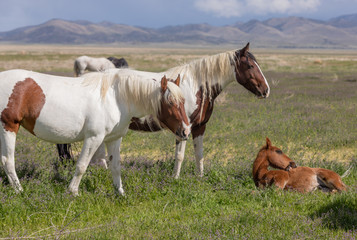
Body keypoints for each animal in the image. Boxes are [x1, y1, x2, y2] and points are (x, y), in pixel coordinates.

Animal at [0, 69, 189, 195]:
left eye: (183, 101)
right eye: (170, 102)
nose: (186, 131)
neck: (116, 97)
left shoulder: (114, 139)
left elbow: (115, 166)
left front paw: (120, 193)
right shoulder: (94, 138)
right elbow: (82, 165)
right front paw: (72, 193)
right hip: (8, 127)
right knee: (8, 161)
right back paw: (19, 191)